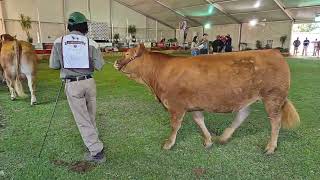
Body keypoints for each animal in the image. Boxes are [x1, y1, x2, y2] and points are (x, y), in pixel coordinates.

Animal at [115, 44, 300, 154]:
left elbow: (175, 126)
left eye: (127, 53)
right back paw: (224, 137)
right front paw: (209, 140)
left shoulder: (176, 105)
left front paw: (168, 144)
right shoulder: (193, 105)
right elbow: (199, 121)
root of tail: (273, 51)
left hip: (273, 96)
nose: (116, 62)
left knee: (275, 122)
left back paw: (270, 147)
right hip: (250, 96)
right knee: (243, 114)